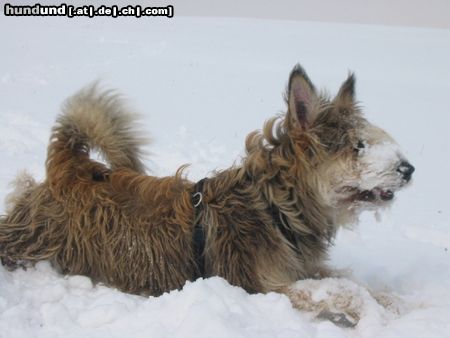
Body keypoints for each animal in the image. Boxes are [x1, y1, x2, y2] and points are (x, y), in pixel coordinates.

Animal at [0, 64, 414, 326]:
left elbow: (353, 284)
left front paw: (400, 304)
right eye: (357, 146)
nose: (408, 169)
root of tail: (69, 167)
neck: (276, 206)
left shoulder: (304, 267)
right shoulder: (263, 287)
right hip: (30, 240)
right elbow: (341, 294)